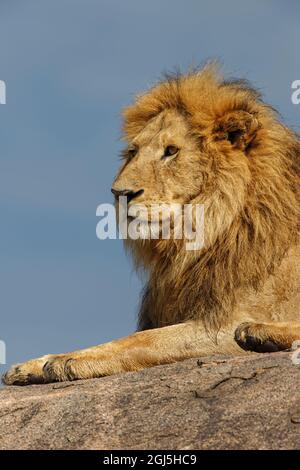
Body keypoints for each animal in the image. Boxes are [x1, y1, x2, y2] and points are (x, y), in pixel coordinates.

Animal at [3, 63, 300, 386]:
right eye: (133, 152)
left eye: (171, 151)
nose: (120, 193)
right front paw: (32, 365)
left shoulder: (228, 320)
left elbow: (143, 340)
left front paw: (66, 361)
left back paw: (259, 332)